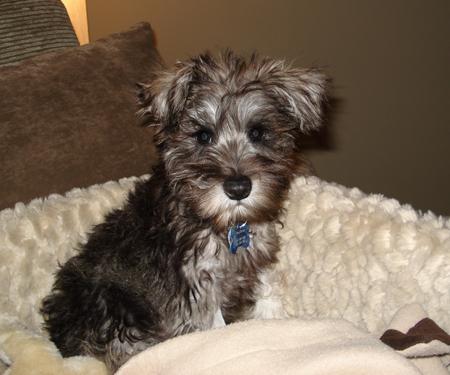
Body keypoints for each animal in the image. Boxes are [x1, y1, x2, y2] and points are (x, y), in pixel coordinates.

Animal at [41, 50, 326, 374]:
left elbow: (268, 291)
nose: (238, 188)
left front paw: (276, 322)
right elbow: (213, 327)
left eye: (258, 132)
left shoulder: (257, 258)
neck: (225, 222)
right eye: (202, 136)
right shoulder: (196, 284)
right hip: (113, 309)